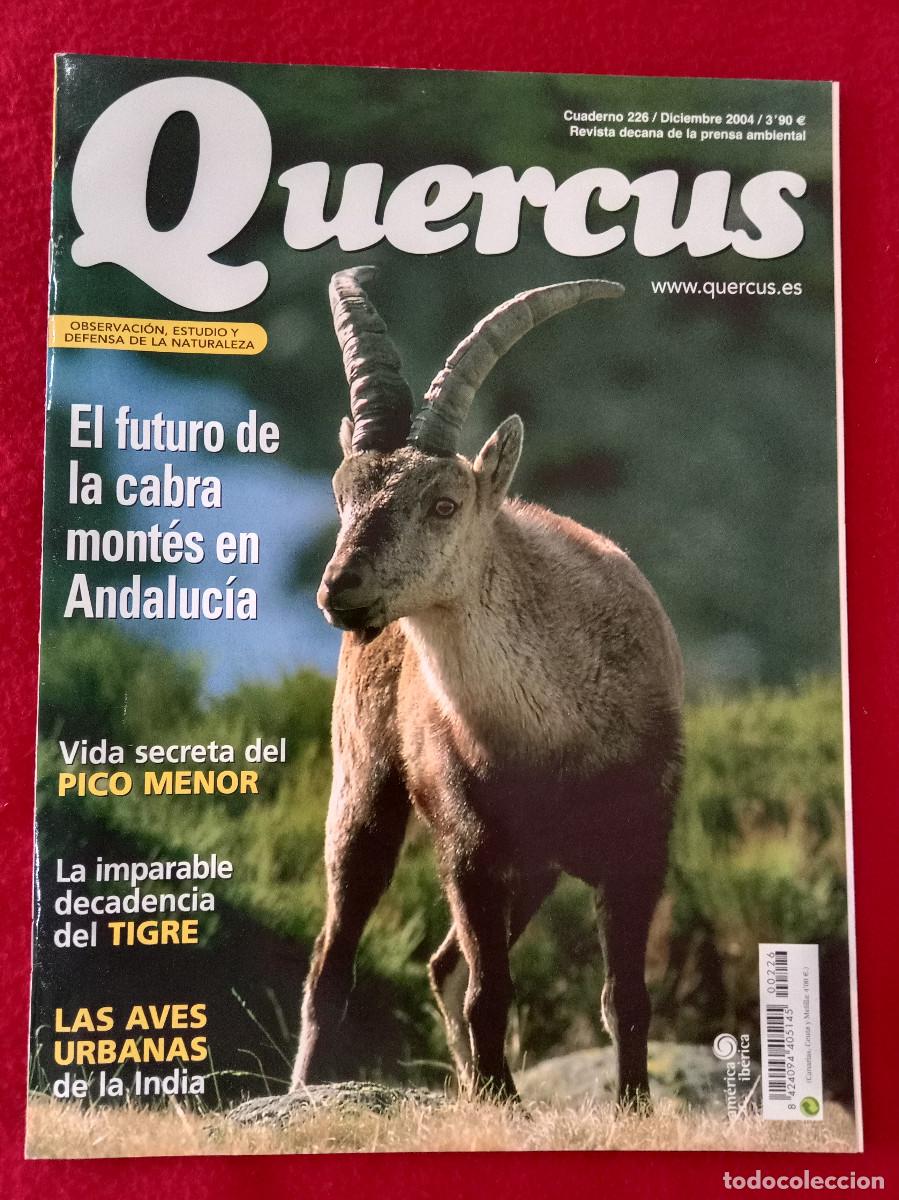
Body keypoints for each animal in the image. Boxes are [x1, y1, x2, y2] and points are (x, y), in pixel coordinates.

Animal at [291, 267, 684, 1108]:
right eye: (341, 494)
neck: (551, 728)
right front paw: (504, 1100)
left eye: (444, 503)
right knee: (337, 961)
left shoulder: (640, 840)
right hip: (367, 786)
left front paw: (633, 1106)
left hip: (535, 871)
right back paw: (308, 1089)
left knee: (440, 963)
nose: (340, 588)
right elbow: (488, 990)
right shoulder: (470, 845)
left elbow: (625, 996)